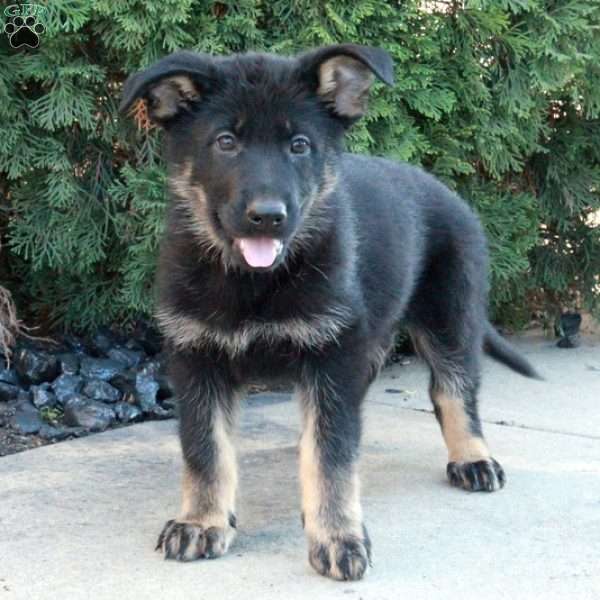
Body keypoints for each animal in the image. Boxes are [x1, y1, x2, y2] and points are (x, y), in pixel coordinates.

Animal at [119, 43, 536, 580]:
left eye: (299, 145)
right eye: (225, 142)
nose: (268, 217)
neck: (256, 282)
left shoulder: (330, 358)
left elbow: (332, 455)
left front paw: (338, 535)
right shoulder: (197, 357)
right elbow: (205, 450)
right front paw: (203, 521)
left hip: (449, 316)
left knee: (453, 388)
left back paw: (473, 458)